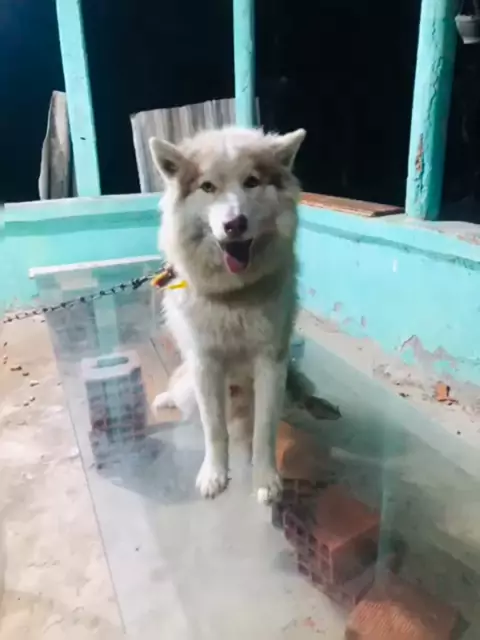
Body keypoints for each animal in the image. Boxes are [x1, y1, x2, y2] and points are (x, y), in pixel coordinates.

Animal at [149, 126, 306, 504]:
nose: (234, 224)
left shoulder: (270, 362)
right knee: (184, 397)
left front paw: (265, 479)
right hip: (193, 384)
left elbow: (264, 429)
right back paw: (166, 400)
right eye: (207, 187)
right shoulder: (206, 363)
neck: (234, 295)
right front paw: (215, 475)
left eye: (251, 182)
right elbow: (214, 428)